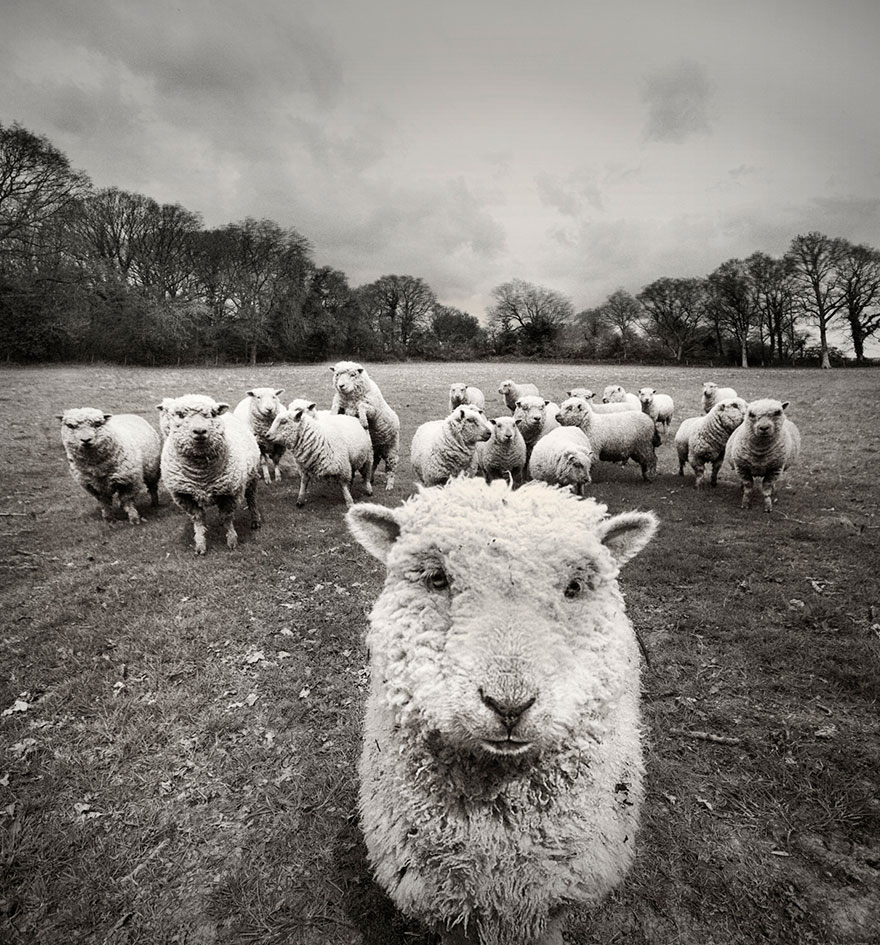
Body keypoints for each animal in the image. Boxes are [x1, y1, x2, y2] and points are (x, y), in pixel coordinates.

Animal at [160, 394, 262, 554]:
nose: (200, 431)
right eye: (180, 415)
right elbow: (198, 519)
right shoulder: (185, 497)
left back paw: (255, 520)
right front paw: (200, 545)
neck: (201, 475)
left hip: (252, 478)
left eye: (213, 414)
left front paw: (232, 540)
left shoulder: (230, 493)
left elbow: (227, 517)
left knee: (252, 499)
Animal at [330, 360, 400, 491]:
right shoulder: (341, 405)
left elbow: (362, 406)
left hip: (391, 446)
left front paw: (363, 421)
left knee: (391, 465)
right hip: (375, 447)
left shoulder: (372, 410)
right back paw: (370, 479)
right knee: (374, 463)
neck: (350, 399)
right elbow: (335, 407)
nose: (341, 386)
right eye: (337, 374)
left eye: (353, 374)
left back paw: (389, 484)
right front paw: (332, 415)